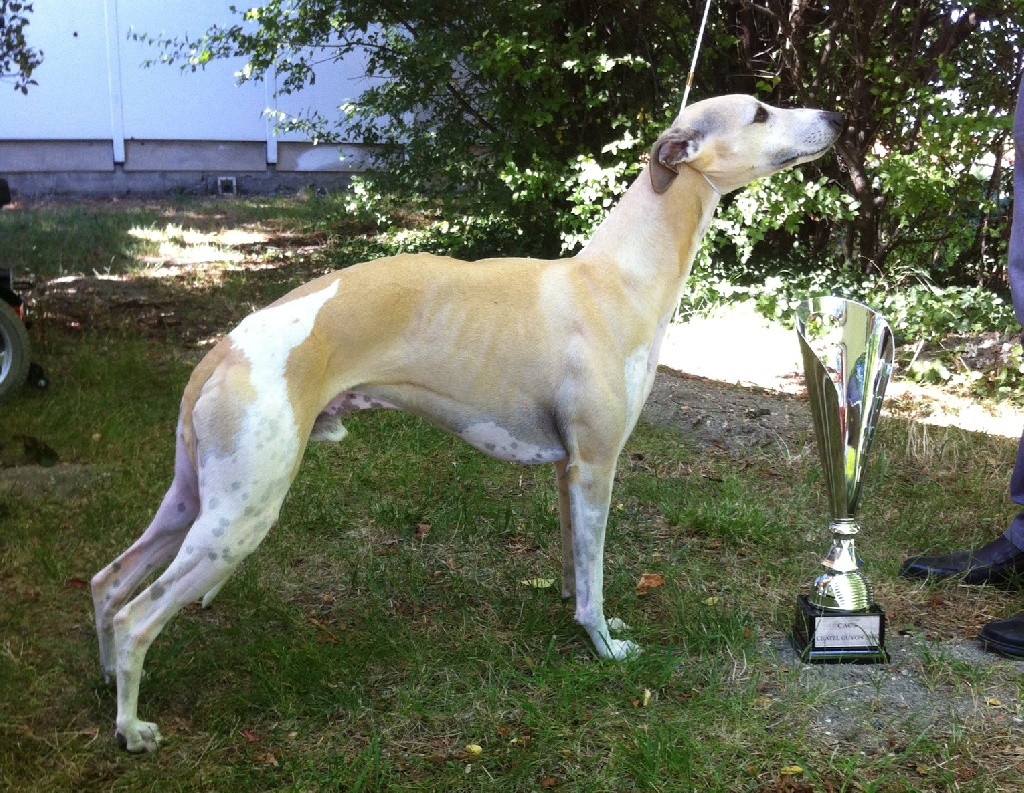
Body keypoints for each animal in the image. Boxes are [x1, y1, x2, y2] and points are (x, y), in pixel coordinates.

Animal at [92, 93, 843, 749]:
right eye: (760, 111)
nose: (836, 118)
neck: (613, 279)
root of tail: (223, 348)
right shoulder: (597, 466)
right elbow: (595, 580)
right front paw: (604, 645)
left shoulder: (569, 472)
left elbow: (576, 564)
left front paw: (573, 613)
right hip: (242, 513)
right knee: (135, 615)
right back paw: (133, 728)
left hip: (194, 498)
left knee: (107, 582)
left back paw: (106, 683)